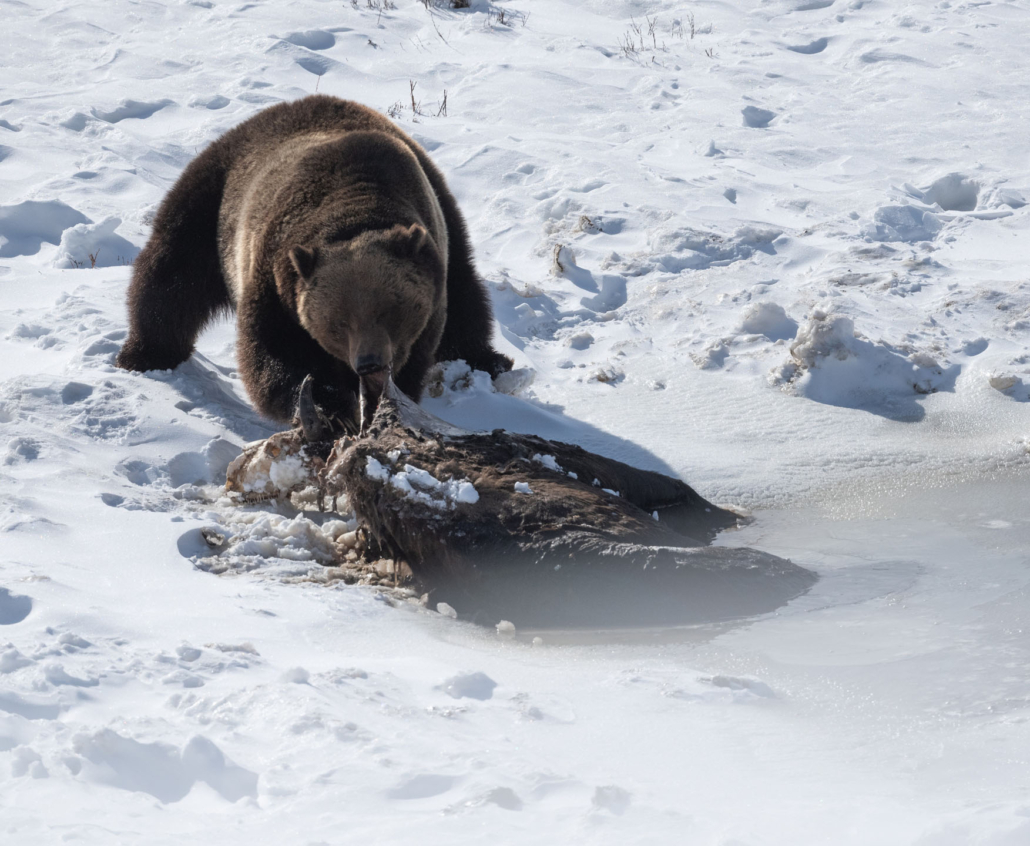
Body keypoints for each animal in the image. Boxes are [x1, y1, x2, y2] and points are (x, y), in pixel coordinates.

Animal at [116, 95, 512, 431]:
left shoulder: (427, 292)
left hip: (445, 213)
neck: (356, 206)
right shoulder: (277, 283)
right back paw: (145, 355)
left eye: (391, 310)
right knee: (171, 273)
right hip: (212, 201)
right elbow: (272, 356)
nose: (368, 362)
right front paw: (331, 411)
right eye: (339, 321)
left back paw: (489, 360)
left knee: (466, 293)